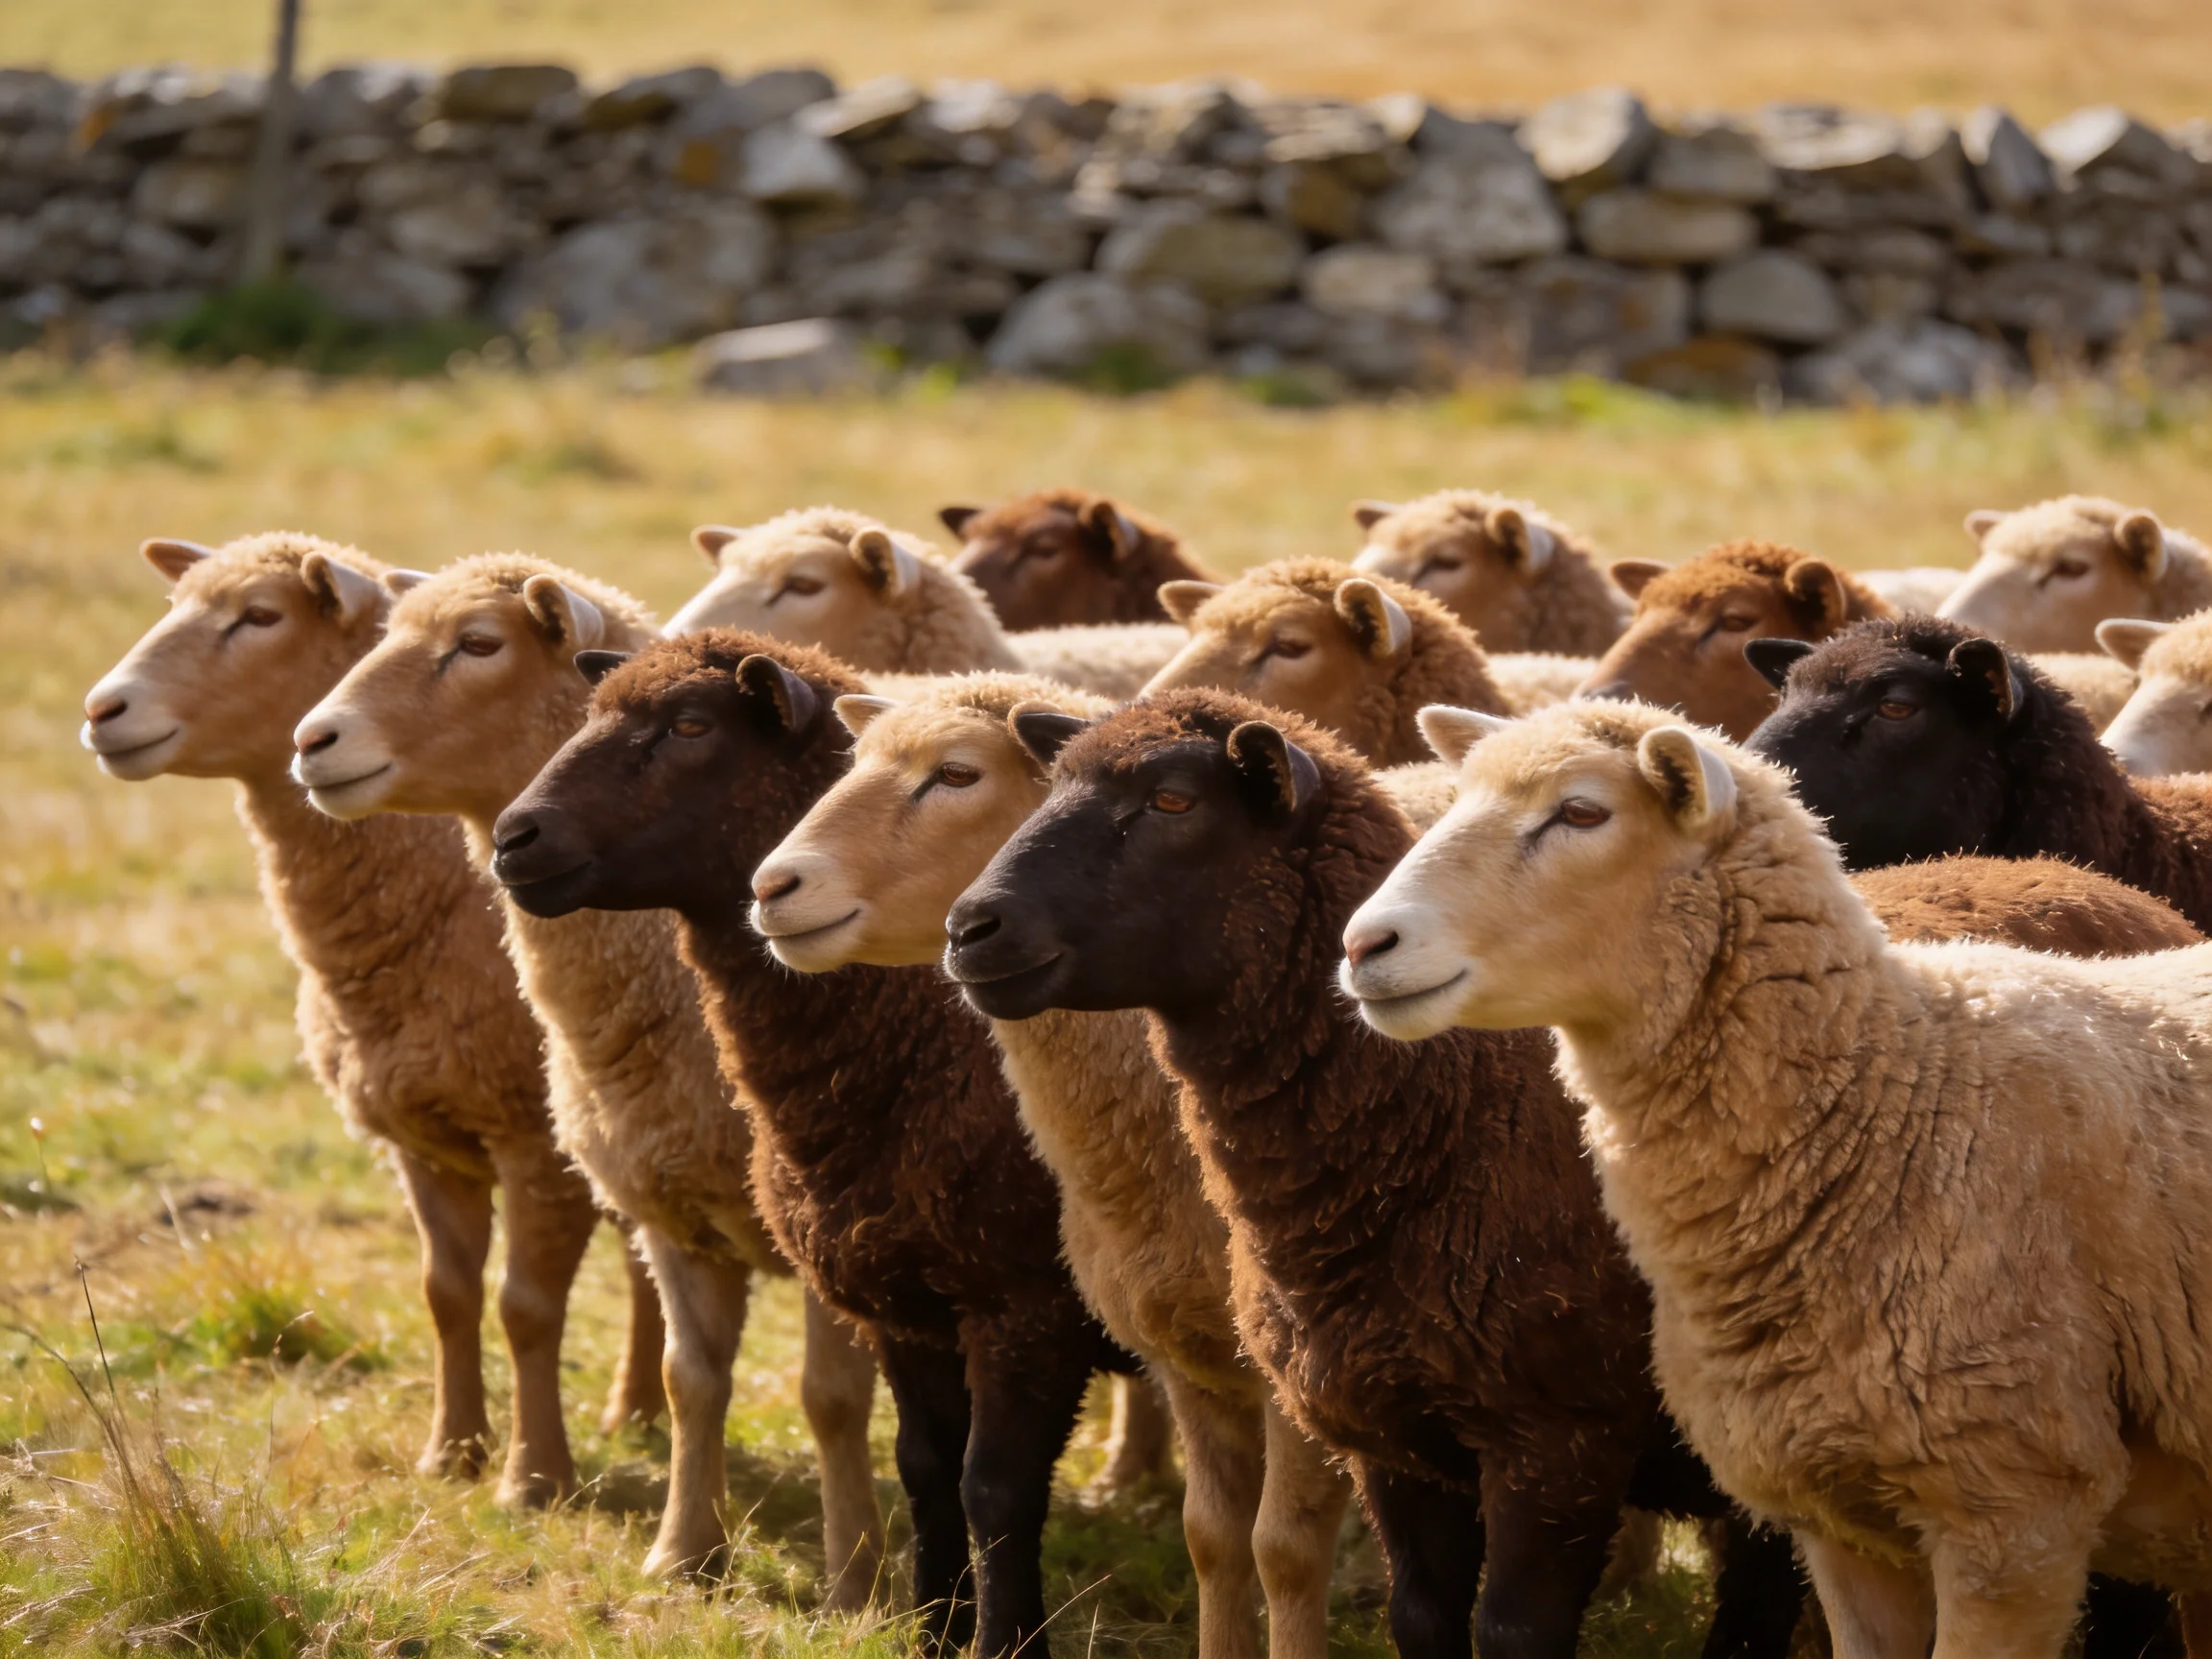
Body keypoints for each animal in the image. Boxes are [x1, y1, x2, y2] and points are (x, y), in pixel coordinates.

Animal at [77, 530, 660, 1507]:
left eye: (260, 616)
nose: (102, 710)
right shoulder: (422, 1137)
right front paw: (452, 1452)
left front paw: (534, 1478)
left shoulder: (534, 1140)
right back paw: (641, 1410)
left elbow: (526, 1308)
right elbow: (447, 1294)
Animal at [287, 557, 884, 1598]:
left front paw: (856, 1584)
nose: (516, 837)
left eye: (479, 644)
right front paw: (684, 1550)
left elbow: (832, 1398)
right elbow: (692, 1379)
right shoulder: (669, 1200)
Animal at [749, 670, 1352, 1659]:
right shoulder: (927, 1309)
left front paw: (1002, 1639)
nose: (771, 886)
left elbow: (995, 1486)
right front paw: (935, 1630)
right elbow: (928, 1465)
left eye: (956, 773)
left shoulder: (1034, 1314)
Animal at [941, 688, 1808, 1659]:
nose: (969, 929)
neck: (1450, 1124)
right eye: (1051, 785)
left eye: (1172, 802)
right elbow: (1419, 1615)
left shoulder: (1560, 1444)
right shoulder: (1393, 1436)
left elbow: (1511, 1630)